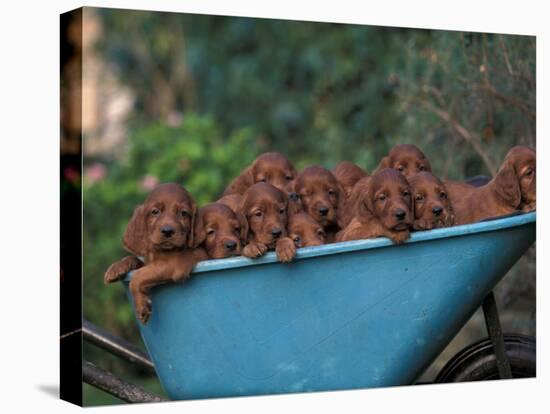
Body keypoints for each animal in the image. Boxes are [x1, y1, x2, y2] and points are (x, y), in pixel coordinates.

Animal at [103, 184, 201, 324]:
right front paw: (116, 268)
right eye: (155, 211)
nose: (167, 231)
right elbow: (135, 259)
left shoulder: (174, 265)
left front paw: (141, 306)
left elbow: (137, 276)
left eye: (183, 213)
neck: (160, 251)